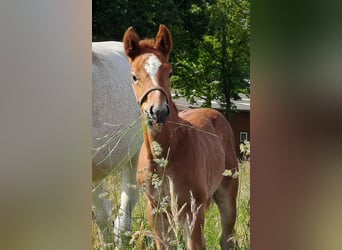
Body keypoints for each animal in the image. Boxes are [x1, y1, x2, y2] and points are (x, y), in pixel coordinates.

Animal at [123, 24, 238, 249]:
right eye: (134, 76)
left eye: (170, 71)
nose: (158, 112)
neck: (165, 155)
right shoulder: (155, 210)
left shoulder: (192, 209)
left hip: (227, 193)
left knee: (226, 238)